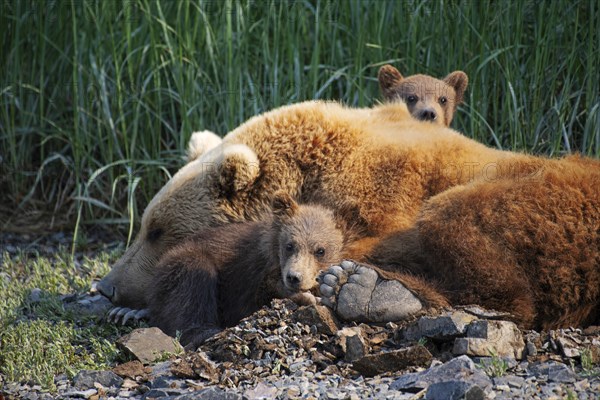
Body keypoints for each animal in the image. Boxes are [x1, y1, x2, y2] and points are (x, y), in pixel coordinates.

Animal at [142, 193, 366, 346]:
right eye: (290, 245)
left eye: (320, 250)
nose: (294, 277)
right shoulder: (247, 274)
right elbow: (254, 297)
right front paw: (303, 296)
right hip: (184, 263)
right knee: (190, 291)